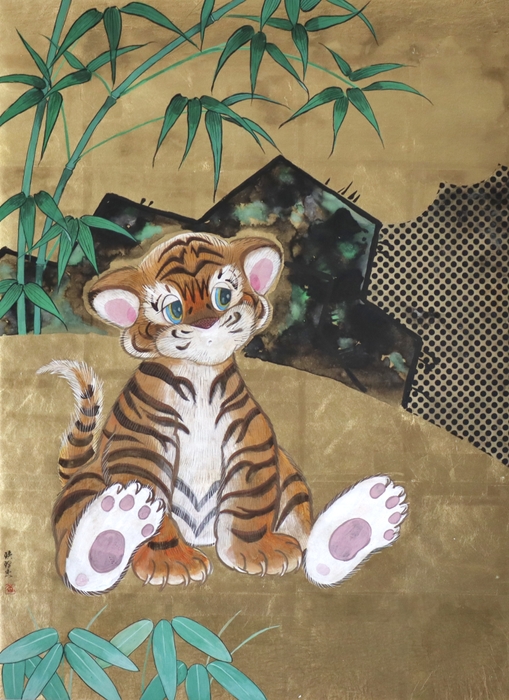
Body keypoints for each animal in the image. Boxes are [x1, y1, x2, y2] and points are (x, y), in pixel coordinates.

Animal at [39, 231, 408, 594]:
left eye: (222, 296)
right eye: (174, 310)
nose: (207, 323)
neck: (198, 374)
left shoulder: (251, 440)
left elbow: (249, 502)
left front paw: (257, 552)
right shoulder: (139, 444)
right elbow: (154, 503)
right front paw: (170, 562)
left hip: (291, 479)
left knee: (308, 545)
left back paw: (364, 520)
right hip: (86, 487)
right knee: (72, 560)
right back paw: (116, 524)